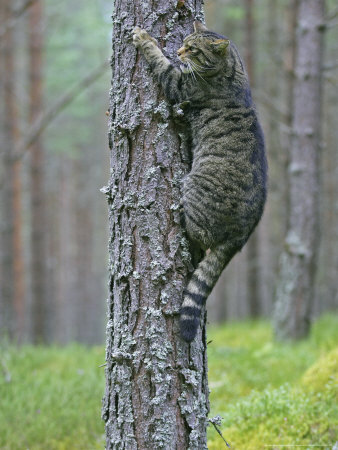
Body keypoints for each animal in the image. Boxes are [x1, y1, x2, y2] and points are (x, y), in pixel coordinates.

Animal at [132, 21, 266, 342]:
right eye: (183, 41)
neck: (231, 69)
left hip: (194, 188)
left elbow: (161, 63)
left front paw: (145, 38)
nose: (179, 52)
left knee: (198, 236)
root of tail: (242, 235)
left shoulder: (178, 83)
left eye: (192, 48)